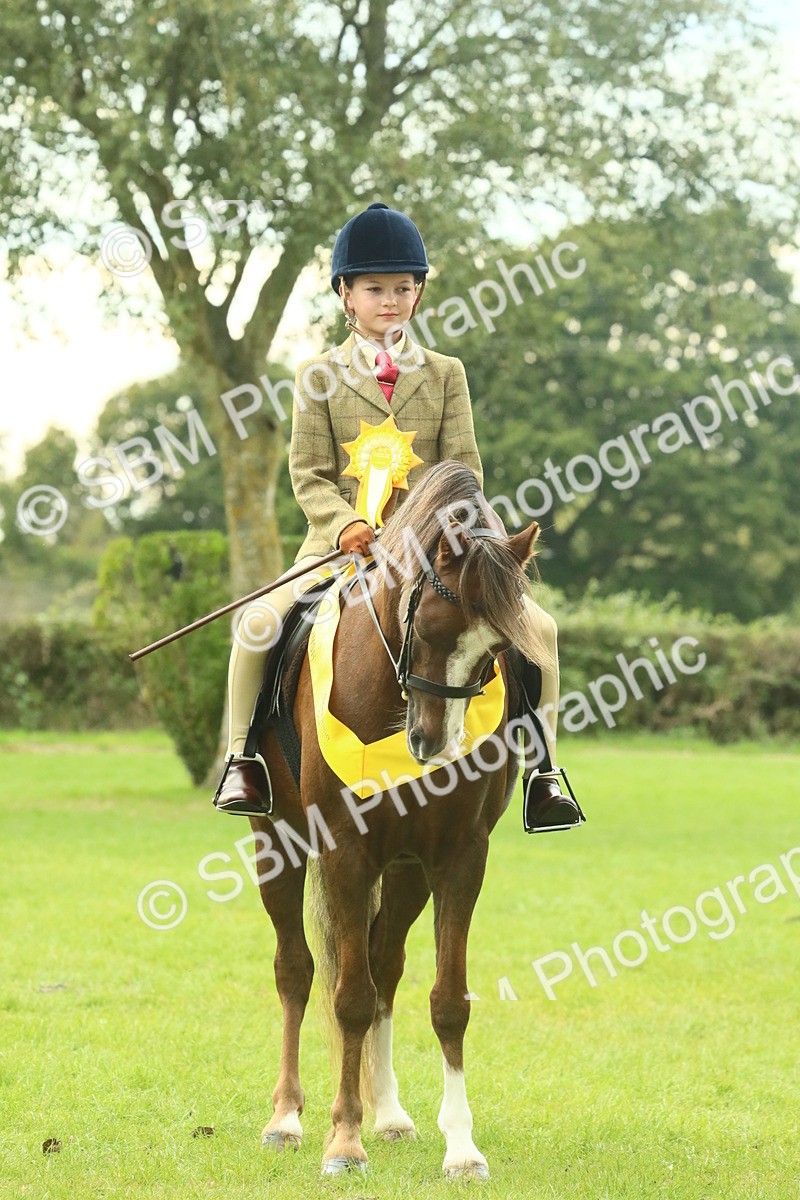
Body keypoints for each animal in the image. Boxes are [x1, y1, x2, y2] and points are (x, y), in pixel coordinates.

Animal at [249, 460, 548, 1180]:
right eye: (430, 627)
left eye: (498, 646)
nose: (432, 744)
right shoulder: (345, 852)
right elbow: (347, 997)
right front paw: (342, 1142)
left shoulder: (460, 856)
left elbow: (446, 1000)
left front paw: (461, 1149)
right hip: (277, 842)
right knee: (297, 970)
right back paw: (287, 1120)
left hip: (409, 870)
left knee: (385, 965)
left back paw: (387, 1114)